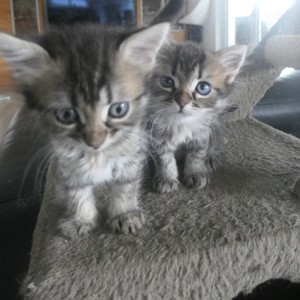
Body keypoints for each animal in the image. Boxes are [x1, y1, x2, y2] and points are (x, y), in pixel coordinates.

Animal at [0, 21, 171, 237]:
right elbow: (76, 189)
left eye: (118, 109)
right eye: (66, 115)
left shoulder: (132, 147)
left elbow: (126, 183)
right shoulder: (65, 158)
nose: (95, 142)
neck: (96, 155)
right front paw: (81, 219)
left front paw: (123, 214)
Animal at [145, 41, 246, 193]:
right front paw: (166, 178)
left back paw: (210, 158)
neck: (181, 123)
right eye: (167, 82)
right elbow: (164, 157)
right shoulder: (155, 134)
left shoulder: (202, 133)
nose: (182, 102)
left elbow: (197, 154)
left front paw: (195, 173)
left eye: (203, 87)